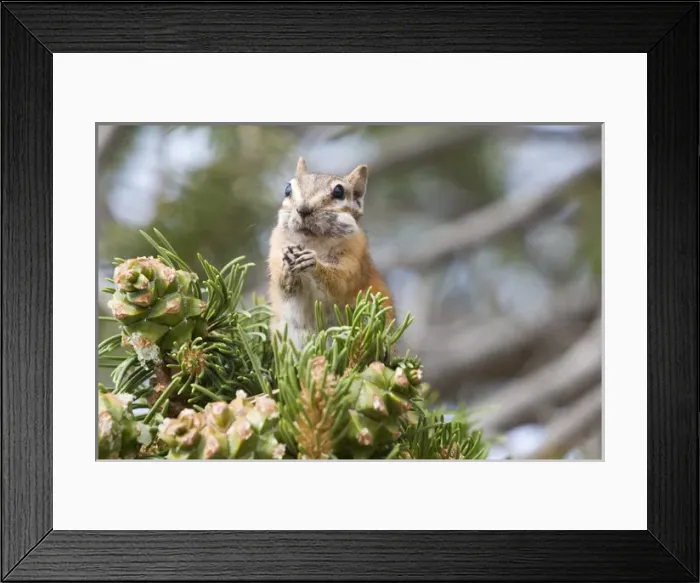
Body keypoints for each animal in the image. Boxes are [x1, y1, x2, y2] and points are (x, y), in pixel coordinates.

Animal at [267, 157, 393, 348]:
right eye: (287, 189)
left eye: (339, 191)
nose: (303, 209)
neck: (314, 242)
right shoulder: (275, 249)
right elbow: (283, 285)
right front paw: (287, 266)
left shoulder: (354, 257)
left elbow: (339, 282)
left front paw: (313, 263)